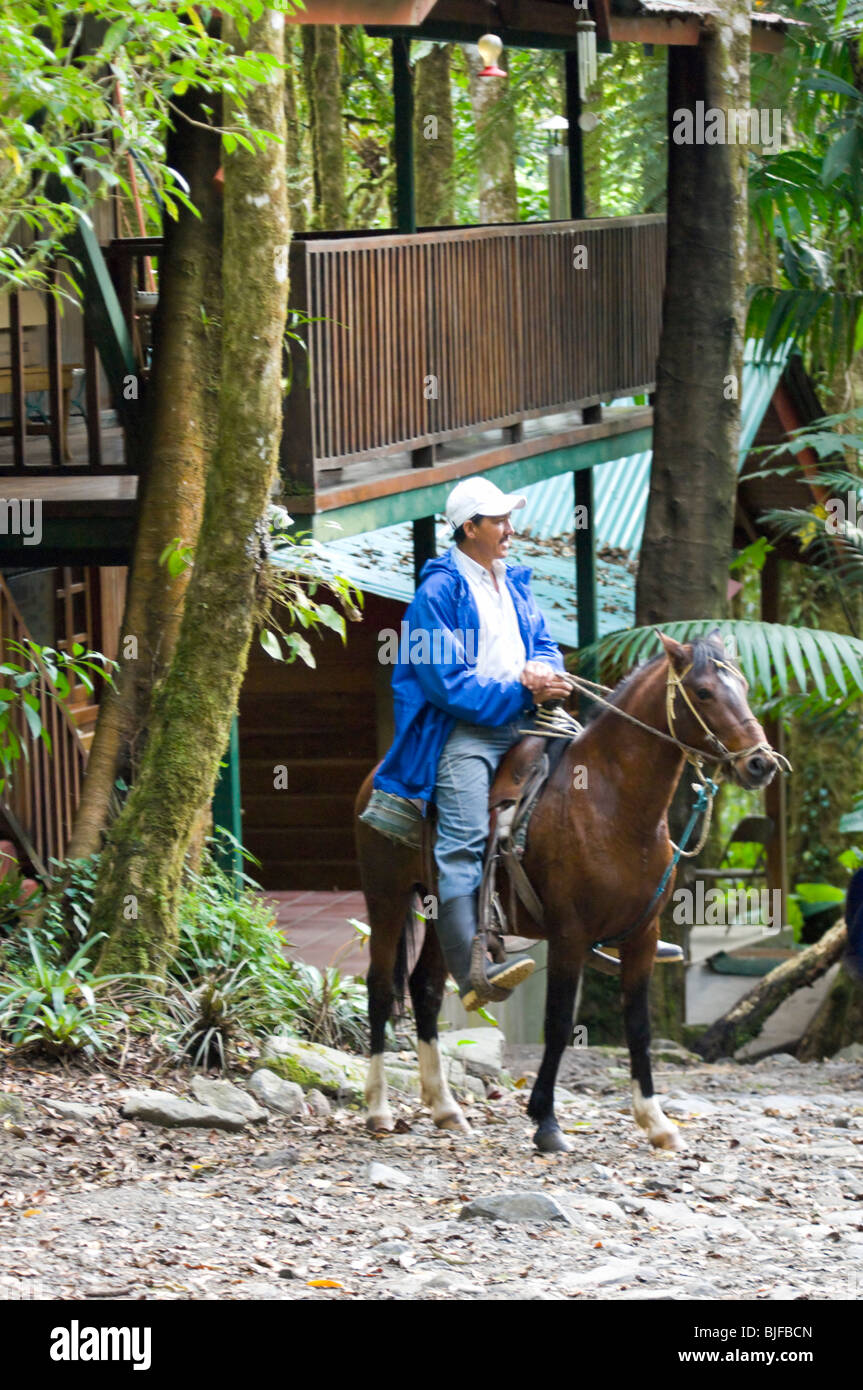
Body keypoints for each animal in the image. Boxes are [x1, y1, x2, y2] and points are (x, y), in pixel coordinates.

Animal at [352, 631, 778, 1150]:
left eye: (743, 688)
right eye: (703, 692)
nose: (760, 763)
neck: (610, 804)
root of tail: (376, 777)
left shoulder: (644, 936)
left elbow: (638, 1026)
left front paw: (655, 1121)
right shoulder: (569, 935)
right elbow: (556, 1024)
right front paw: (546, 1122)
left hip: (437, 910)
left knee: (426, 988)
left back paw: (445, 1108)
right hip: (387, 897)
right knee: (378, 987)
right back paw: (378, 1109)